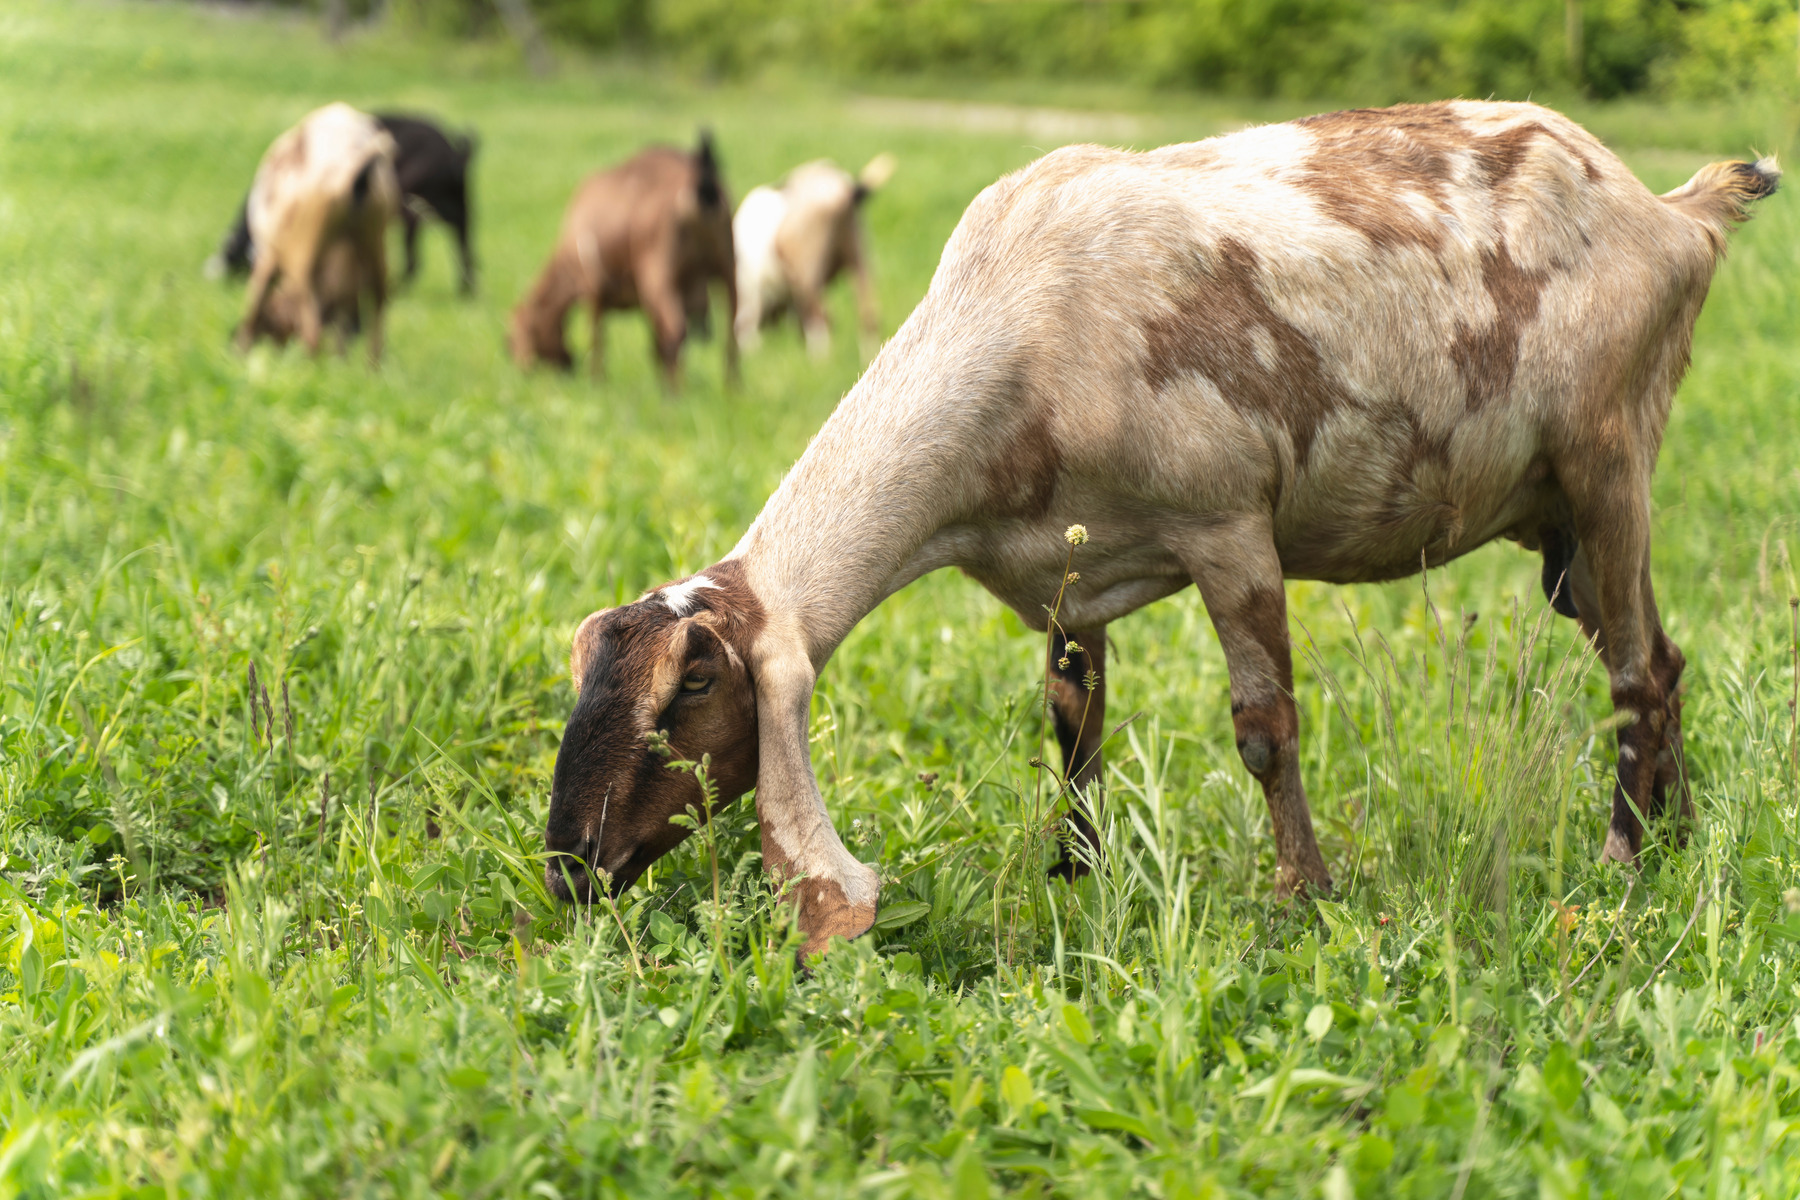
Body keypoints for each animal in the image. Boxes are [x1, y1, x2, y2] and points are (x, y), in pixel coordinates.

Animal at [234, 103, 400, 364]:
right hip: (376, 247)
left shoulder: (270, 256)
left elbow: (254, 304)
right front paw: (340, 363)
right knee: (378, 312)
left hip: (303, 262)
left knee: (313, 333)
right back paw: (370, 366)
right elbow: (343, 327)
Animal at [510, 135, 736, 388]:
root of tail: (702, 186)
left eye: (510, 341)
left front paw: (597, 383)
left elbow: (597, 339)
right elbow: (654, 343)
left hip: (659, 276)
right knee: (731, 332)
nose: (568, 367)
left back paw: (676, 393)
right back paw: (731, 390)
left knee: (676, 331)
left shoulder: (593, 289)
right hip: (728, 266)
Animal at [733, 154, 896, 357]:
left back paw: (820, 359)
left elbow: (749, 326)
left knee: (822, 316)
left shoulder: (751, 294)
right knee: (867, 313)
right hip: (857, 253)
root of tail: (843, 191)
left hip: (810, 270)